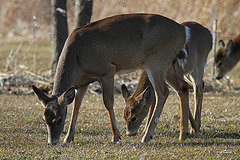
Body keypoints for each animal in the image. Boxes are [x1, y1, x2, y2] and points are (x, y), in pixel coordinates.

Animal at [32, 13, 191, 144]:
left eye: (59, 119)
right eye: (44, 119)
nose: (52, 141)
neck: (76, 55)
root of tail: (183, 30)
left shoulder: (107, 70)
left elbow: (108, 102)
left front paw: (116, 136)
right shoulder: (83, 81)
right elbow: (77, 104)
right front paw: (68, 137)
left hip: (157, 61)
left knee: (162, 92)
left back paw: (147, 136)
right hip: (167, 65)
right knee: (182, 87)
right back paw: (183, 134)